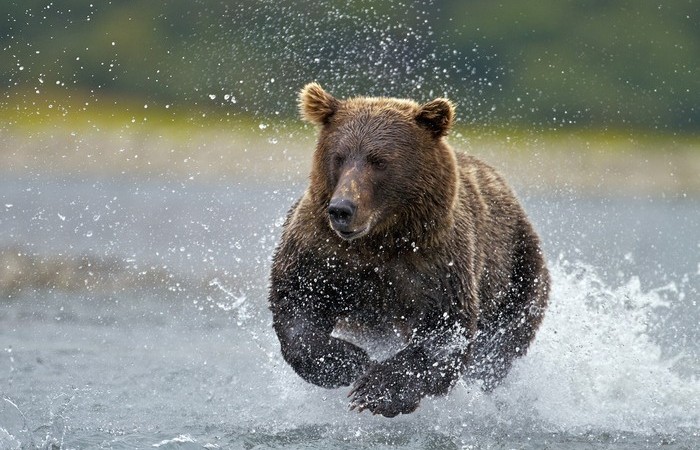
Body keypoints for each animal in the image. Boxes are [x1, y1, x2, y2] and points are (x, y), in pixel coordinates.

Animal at [270, 82, 548, 416]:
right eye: (339, 157)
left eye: (379, 160)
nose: (342, 209)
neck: (381, 239)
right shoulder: (322, 251)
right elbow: (297, 300)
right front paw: (348, 361)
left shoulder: (437, 263)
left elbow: (444, 331)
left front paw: (377, 391)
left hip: (519, 270)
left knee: (499, 345)